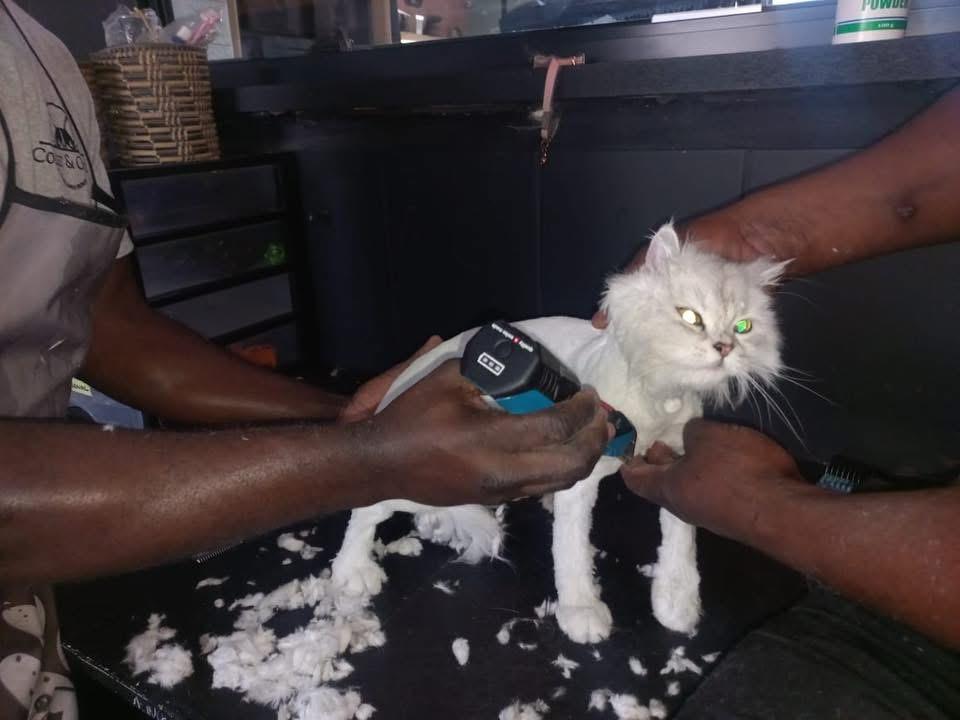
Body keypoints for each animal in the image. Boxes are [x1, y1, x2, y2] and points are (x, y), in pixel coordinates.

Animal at [330, 222, 786, 643]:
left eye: (743, 327)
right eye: (690, 317)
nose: (725, 348)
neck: (659, 395)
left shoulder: (673, 458)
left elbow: (680, 538)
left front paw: (676, 601)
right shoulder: (582, 476)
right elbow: (571, 551)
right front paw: (581, 612)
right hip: (410, 471)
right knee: (368, 506)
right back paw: (352, 570)